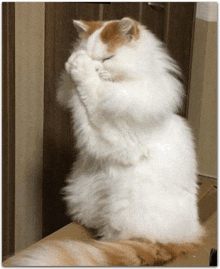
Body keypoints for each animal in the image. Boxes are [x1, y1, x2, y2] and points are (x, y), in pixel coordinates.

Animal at [3, 17, 205, 266]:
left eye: (107, 59)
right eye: (90, 55)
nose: (94, 66)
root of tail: (188, 237)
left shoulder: (118, 139)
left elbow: (93, 95)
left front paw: (81, 70)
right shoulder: (90, 130)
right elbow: (80, 104)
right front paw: (74, 68)